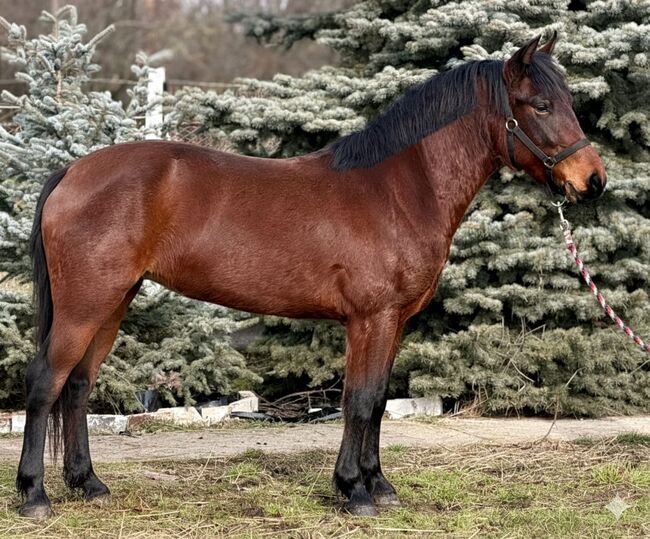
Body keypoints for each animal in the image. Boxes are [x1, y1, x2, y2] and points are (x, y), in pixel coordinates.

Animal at [16, 33, 606, 519]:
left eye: (569, 102)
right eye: (540, 105)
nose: (594, 181)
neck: (398, 189)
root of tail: (73, 170)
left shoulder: (394, 321)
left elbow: (378, 400)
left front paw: (378, 486)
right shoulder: (370, 318)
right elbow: (360, 400)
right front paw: (355, 492)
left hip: (114, 301)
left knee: (78, 385)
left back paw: (88, 485)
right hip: (87, 303)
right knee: (47, 380)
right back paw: (35, 496)